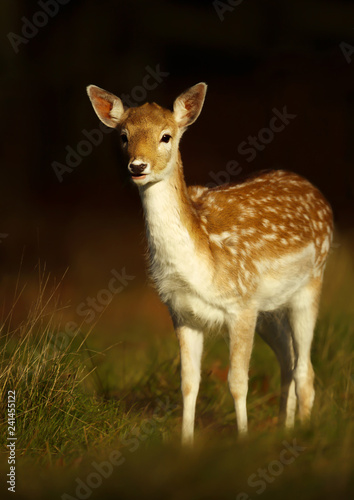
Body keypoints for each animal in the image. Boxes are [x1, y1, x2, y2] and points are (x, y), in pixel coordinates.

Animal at [87, 82, 334, 446]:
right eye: (123, 136)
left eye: (166, 136)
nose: (138, 166)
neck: (201, 264)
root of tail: (318, 195)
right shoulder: (183, 313)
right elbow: (189, 382)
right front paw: (186, 444)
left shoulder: (241, 304)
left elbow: (237, 382)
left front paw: (242, 441)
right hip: (270, 310)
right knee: (288, 361)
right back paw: (282, 428)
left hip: (310, 283)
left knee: (305, 368)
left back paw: (301, 434)